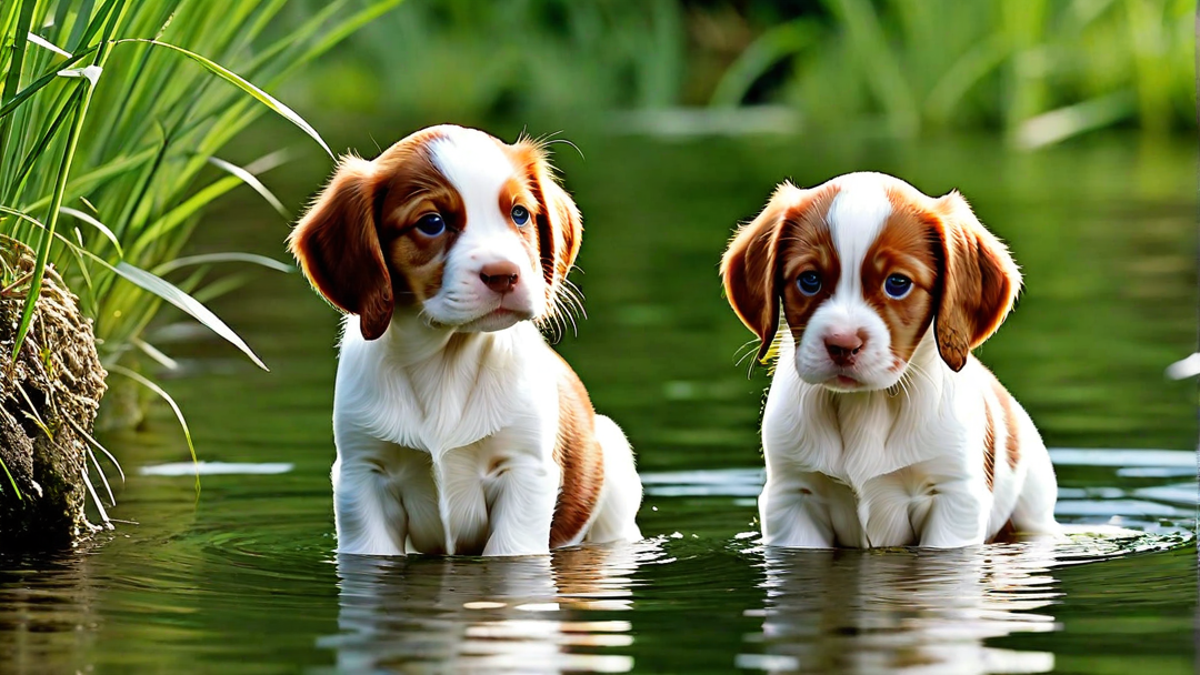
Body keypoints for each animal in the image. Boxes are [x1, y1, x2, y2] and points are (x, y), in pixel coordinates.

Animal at [286, 123, 643, 554]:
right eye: (432, 222)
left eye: (520, 214)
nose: (504, 274)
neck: (447, 357)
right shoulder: (363, 473)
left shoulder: (524, 471)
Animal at [715, 171, 1056, 547]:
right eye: (809, 280)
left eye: (897, 283)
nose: (842, 344)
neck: (866, 404)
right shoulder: (792, 499)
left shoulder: (953, 501)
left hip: (1034, 517)